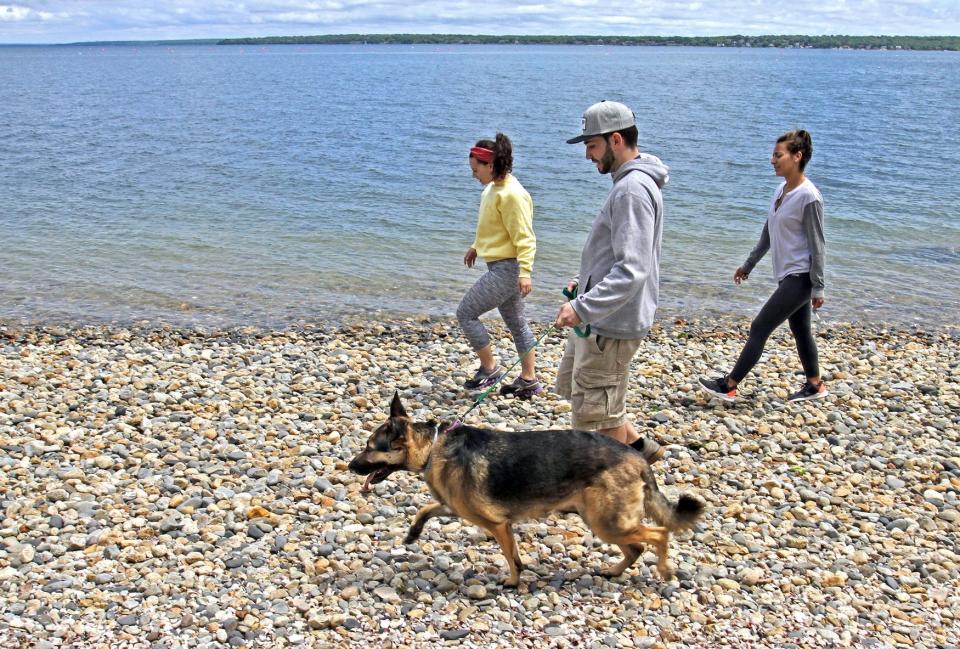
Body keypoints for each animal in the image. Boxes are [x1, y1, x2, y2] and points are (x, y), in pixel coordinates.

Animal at [350, 392, 704, 584]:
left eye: (369, 448)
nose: (350, 466)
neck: (433, 447)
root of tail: (636, 456)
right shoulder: (453, 506)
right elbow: (426, 508)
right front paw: (413, 533)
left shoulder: (497, 524)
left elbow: (512, 557)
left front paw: (512, 581)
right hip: (602, 521)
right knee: (636, 548)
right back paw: (615, 571)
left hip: (608, 522)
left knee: (658, 535)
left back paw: (663, 569)